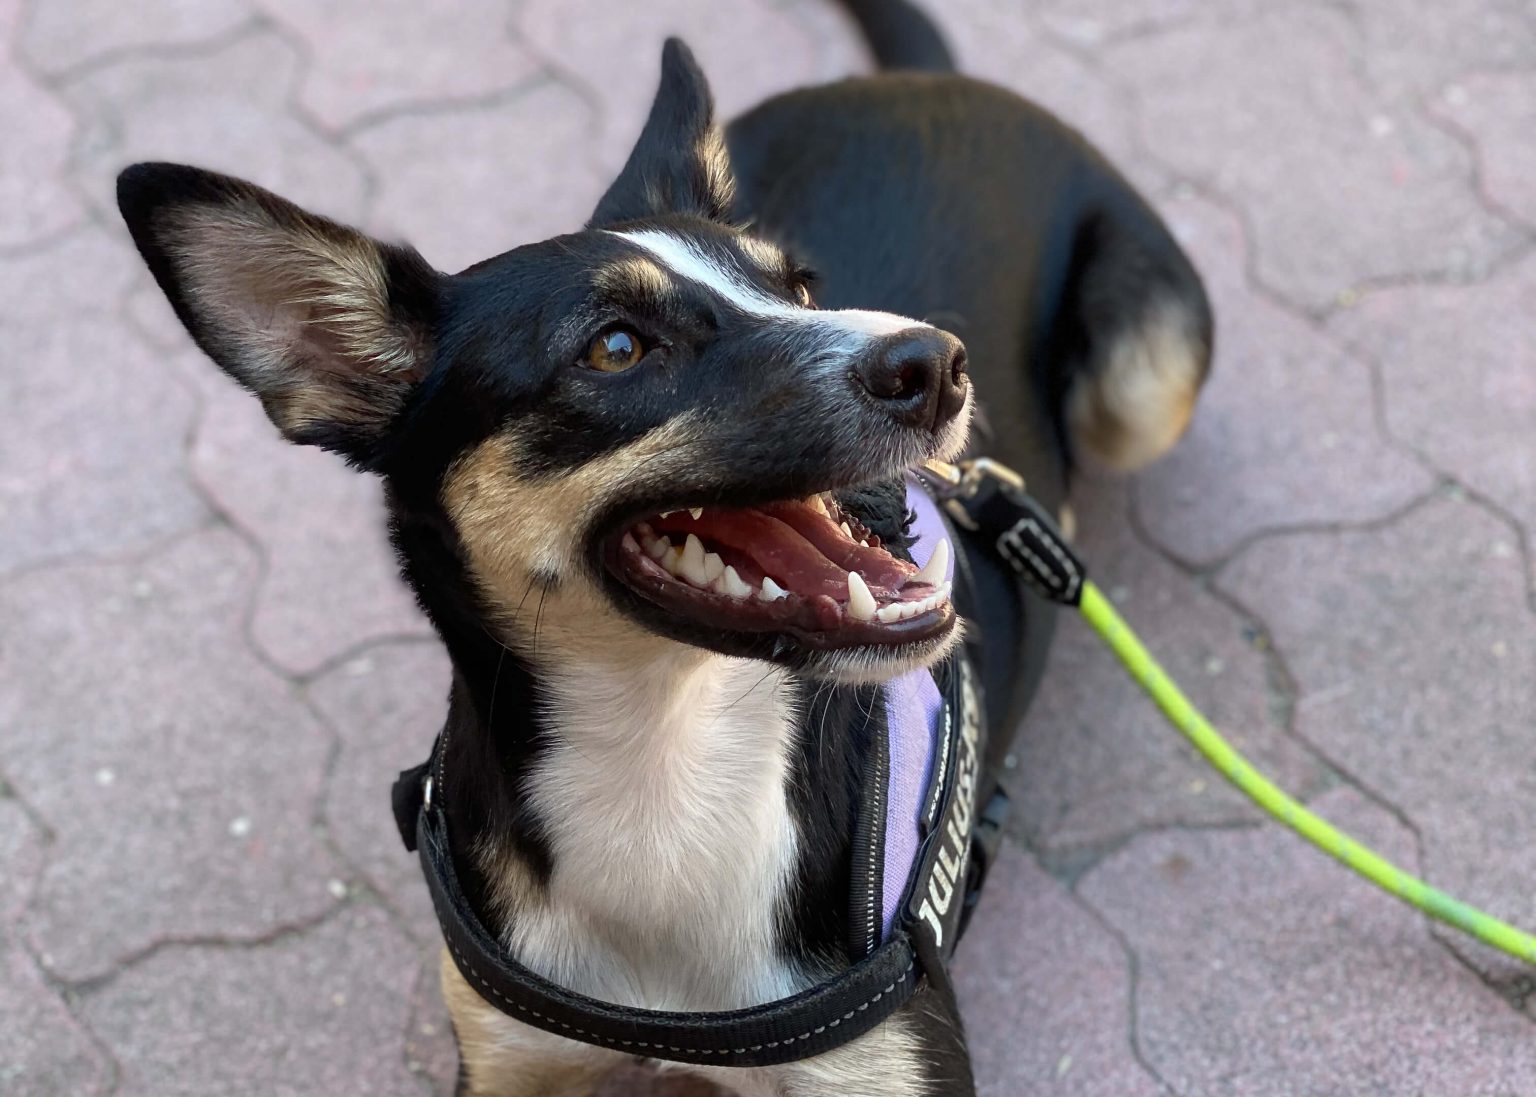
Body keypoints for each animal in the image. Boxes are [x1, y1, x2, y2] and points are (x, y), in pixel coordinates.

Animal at [113, 4, 1210, 1087]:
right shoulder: (505, 1056)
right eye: (615, 346)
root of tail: (928, 81)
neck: (661, 767)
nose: (937, 365)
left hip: (1143, 386)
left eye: (801, 289)